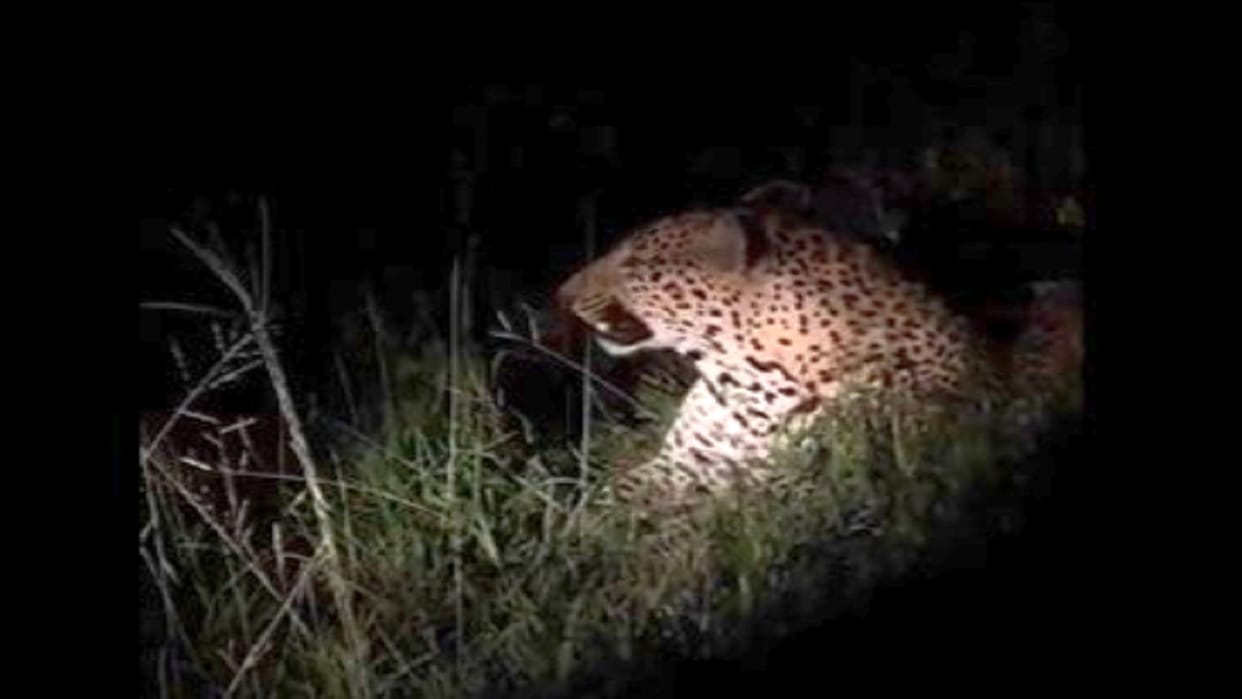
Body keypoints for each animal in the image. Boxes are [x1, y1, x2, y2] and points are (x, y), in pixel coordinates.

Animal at [554, 198, 1082, 510]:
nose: (562, 293)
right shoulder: (682, 463)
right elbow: (602, 499)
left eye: (635, 262)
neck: (741, 378)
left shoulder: (813, 483)